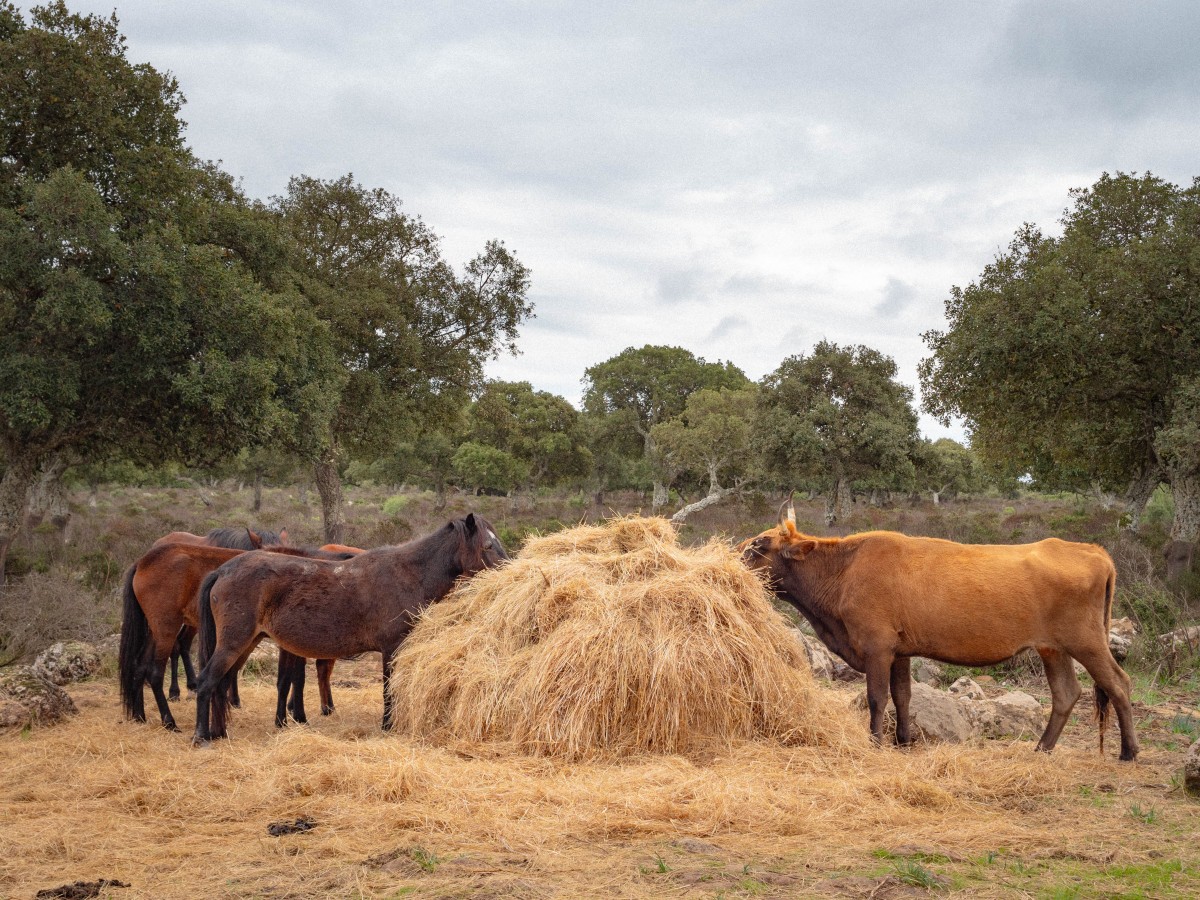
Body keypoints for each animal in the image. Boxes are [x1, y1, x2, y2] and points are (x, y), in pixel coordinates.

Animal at [117, 540, 350, 729]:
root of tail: (143, 562)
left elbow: (291, 679)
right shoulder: (290, 645)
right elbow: (293, 680)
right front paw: (297, 717)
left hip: (155, 631)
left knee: (139, 667)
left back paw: (139, 716)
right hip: (167, 629)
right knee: (155, 673)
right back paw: (170, 721)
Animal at [194, 518, 504, 744]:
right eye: (488, 545)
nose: (508, 566)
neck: (407, 574)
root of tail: (222, 570)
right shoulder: (391, 648)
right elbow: (388, 688)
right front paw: (388, 724)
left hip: (245, 643)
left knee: (220, 684)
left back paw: (219, 732)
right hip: (234, 643)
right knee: (207, 682)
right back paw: (202, 736)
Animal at [734, 501, 1137, 763]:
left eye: (758, 546)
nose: (729, 558)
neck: (844, 570)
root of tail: (1093, 550)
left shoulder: (877, 647)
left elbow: (877, 697)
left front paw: (875, 742)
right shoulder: (899, 652)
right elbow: (902, 696)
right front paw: (903, 741)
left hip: (1086, 642)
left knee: (1118, 684)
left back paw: (1129, 751)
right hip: (1053, 648)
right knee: (1066, 694)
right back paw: (1042, 749)